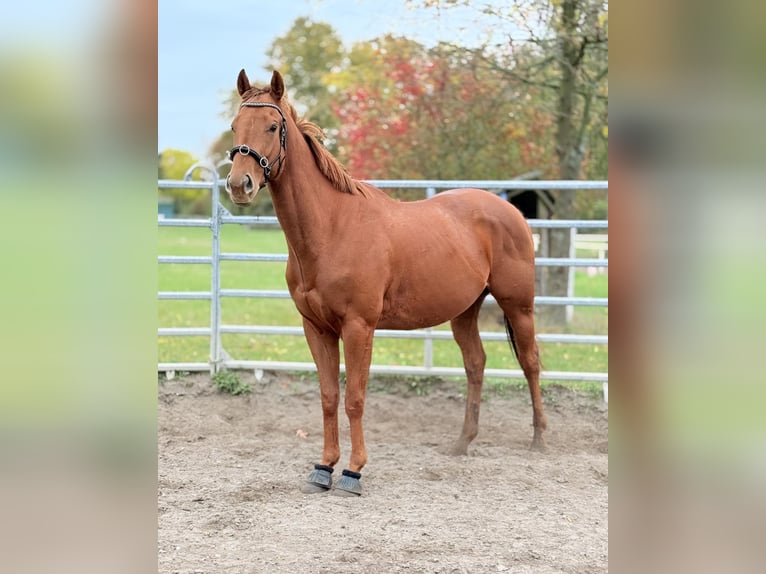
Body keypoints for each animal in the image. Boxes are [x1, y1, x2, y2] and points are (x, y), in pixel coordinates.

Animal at [225, 70, 547, 496]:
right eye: (234, 126)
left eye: (273, 126)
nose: (239, 184)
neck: (332, 227)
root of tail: (510, 210)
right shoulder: (316, 328)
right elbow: (329, 397)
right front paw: (323, 467)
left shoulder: (359, 327)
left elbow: (355, 398)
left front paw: (353, 472)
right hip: (465, 311)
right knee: (475, 364)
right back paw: (463, 443)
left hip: (518, 305)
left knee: (530, 363)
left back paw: (540, 439)